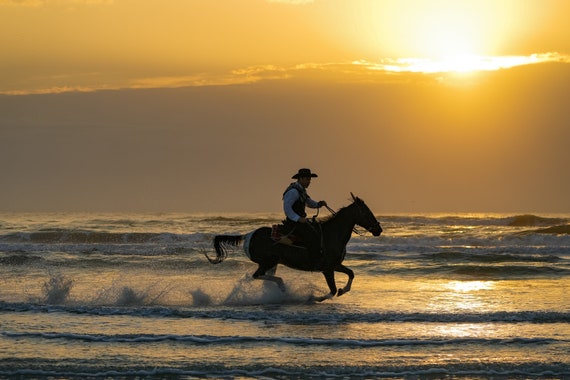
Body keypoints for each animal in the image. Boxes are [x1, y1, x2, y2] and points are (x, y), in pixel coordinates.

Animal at [204, 194, 382, 302]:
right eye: (366, 212)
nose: (378, 230)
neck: (332, 234)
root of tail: (248, 235)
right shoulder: (327, 269)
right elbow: (331, 290)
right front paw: (314, 297)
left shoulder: (335, 265)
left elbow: (351, 273)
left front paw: (343, 290)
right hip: (268, 262)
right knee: (257, 275)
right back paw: (282, 286)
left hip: (272, 264)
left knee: (262, 277)